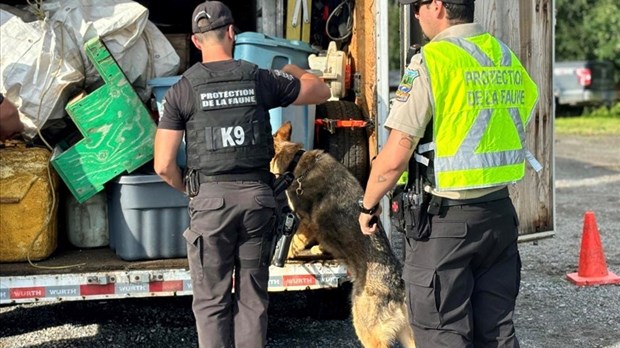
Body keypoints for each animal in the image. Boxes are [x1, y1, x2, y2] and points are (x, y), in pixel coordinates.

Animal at [272, 122, 416, 348]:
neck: (295, 162)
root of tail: (397, 287)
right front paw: (317, 248)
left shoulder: (305, 222)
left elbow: (294, 241)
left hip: (366, 329)